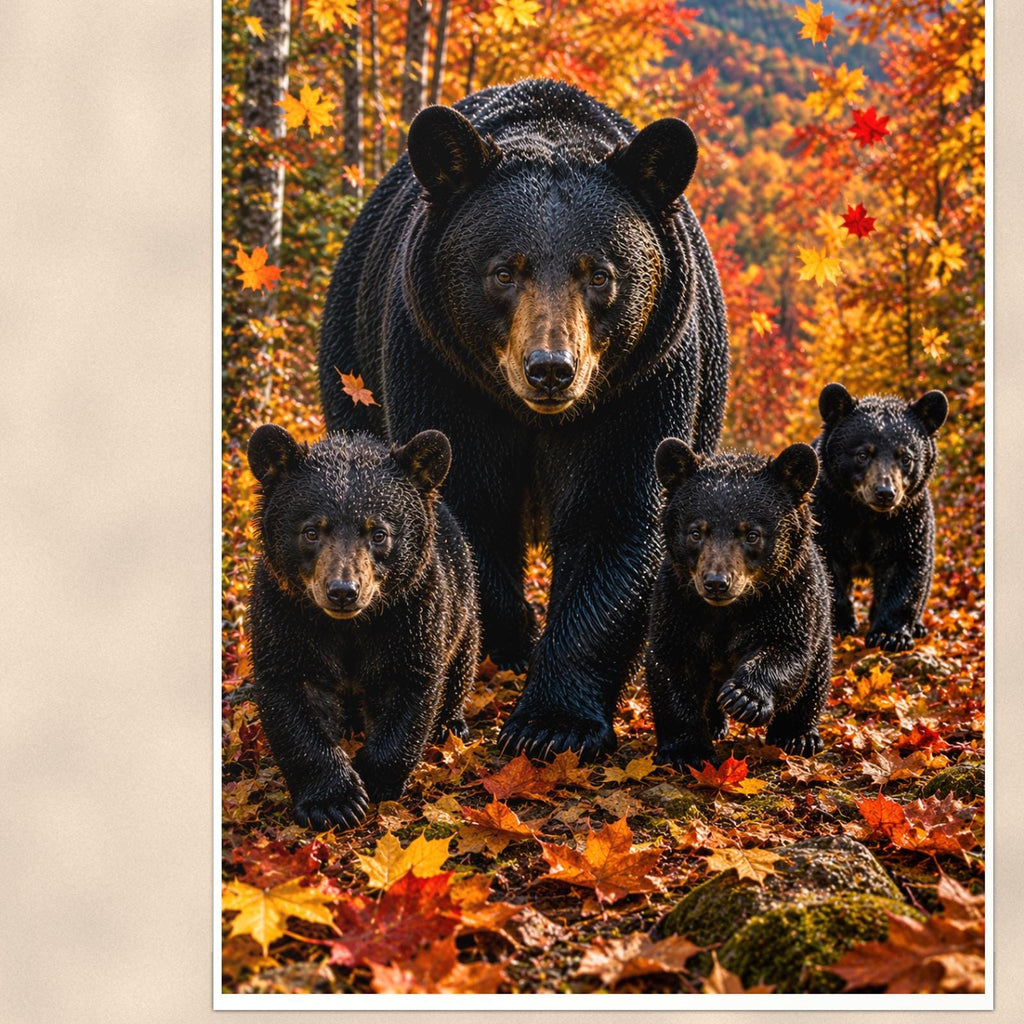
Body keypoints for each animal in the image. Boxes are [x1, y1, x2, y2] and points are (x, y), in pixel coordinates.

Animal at [246, 424, 480, 828]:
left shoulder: (412, 614)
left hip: (463, 605)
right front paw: (334, 802)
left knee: (461, 664)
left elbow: (410, 688)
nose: (343, 591)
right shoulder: (283, 614)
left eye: (378, 533)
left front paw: (374, 778)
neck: (350, 626)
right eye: (311, 531)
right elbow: (291, 693)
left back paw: (451, 724)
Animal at [317, 78, 730, 762]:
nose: (550, 370)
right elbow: (464, 509)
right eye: (503, 271)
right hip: (352, 362)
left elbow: (615, 514)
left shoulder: (641, 382)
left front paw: (551, 722)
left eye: (600, 273)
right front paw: (504, 648)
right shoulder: (441, 367)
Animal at [644, 439, 832, 768]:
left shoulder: (789, 598)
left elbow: (786, 650)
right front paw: (687, 749)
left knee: (815, 679)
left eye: (752, 534)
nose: (716, 582)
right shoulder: (677, 601)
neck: (729, 610)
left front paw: (744, 698)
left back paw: (798, 736)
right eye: (696, 532)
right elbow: (671, 663)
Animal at [812, 382, 949, 652]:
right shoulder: (827, 514)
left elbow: (905, 570)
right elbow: (829, 570)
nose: (885, 492)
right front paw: (840, 625)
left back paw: (918, 626)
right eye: (863, 454)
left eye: (906, 457)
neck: (867, 515)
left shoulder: (910, 521)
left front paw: (890, 635)